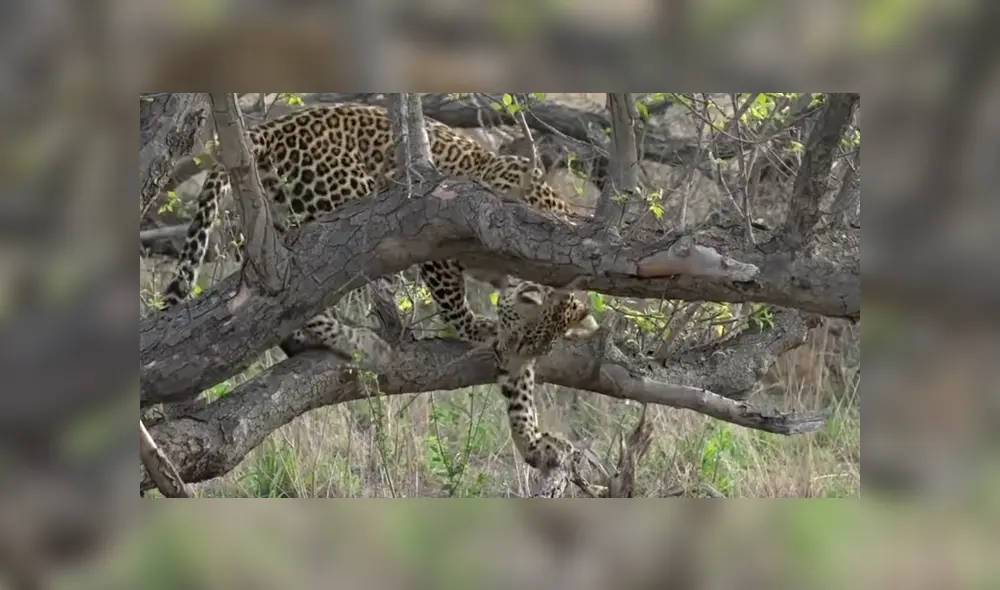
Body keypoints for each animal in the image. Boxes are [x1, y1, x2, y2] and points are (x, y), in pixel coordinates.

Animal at [157, 102, 572, 358]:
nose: (524, 355)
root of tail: (270, 128)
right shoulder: (441, 231)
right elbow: (452, 299)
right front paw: (474, 329)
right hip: (353, 199)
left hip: (279, 215)